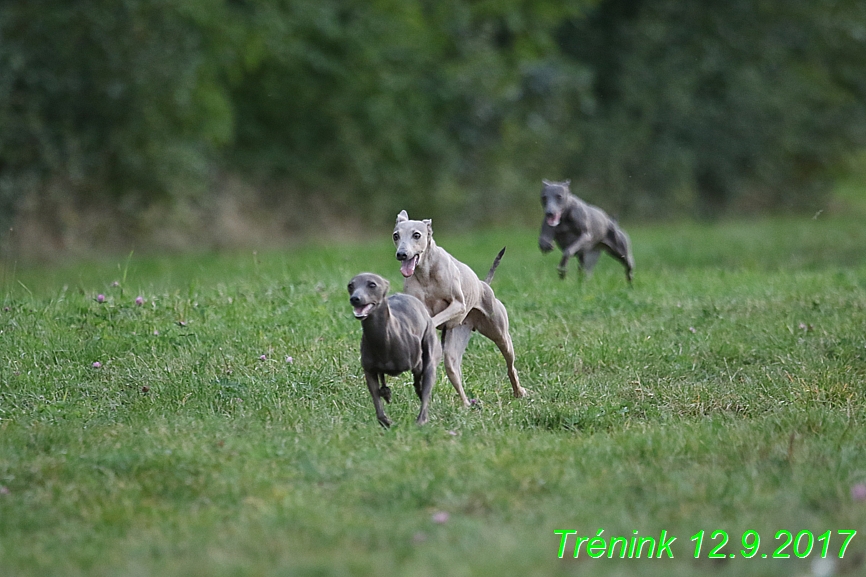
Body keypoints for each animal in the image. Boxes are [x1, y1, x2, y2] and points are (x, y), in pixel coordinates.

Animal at [348, 272, 438, 428]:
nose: (355, 298)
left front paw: (421, 420)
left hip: (428, 348)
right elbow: (376, 399)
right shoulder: (369, 371)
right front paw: (386, 421)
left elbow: (421, 382)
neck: (383, 339)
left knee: (425, 379)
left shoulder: (416, 364)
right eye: (350, 285)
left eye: (372, 284)